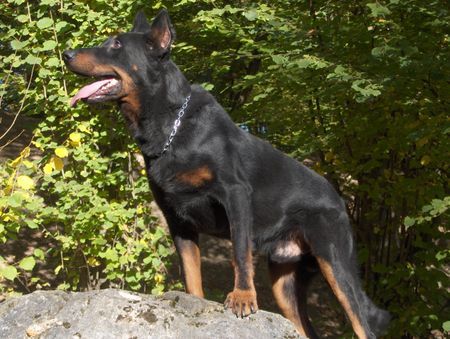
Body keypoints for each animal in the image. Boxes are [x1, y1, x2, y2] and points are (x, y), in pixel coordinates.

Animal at [63, 9, 390, 338]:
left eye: (116, 45)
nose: (66, 54)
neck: (170, 127)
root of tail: (339, 201)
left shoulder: (235, 195)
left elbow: (240, 252)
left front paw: (242, 297)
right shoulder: (177, 218)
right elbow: (191, 272)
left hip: (335, 263)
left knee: (362, 323)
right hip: (285, 282)